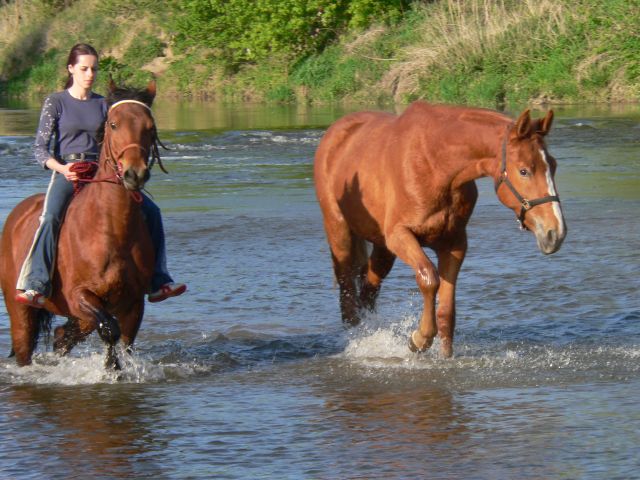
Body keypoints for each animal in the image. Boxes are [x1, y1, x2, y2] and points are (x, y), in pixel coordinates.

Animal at [0, 81, 165, 368]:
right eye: (113, 124)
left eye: (150, 127)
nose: (135, 174)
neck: (110, 230)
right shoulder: (79, 296)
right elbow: (110, 329)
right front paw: (112, 369)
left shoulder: (134, 303)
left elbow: (125, 341)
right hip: (20, 311)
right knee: (26, 346)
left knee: (62, 336)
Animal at [314, 101, 564, 356]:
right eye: (524, 171)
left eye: (553, 165)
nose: (555, 232)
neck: (436, 166)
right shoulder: (400, 236)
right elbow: (428, 278)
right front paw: (420, 338)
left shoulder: (453, 244)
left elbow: (446, 312)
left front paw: (445, 356)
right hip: (340, 232)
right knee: (347, 292)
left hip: (382, 247)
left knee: (368, 288)